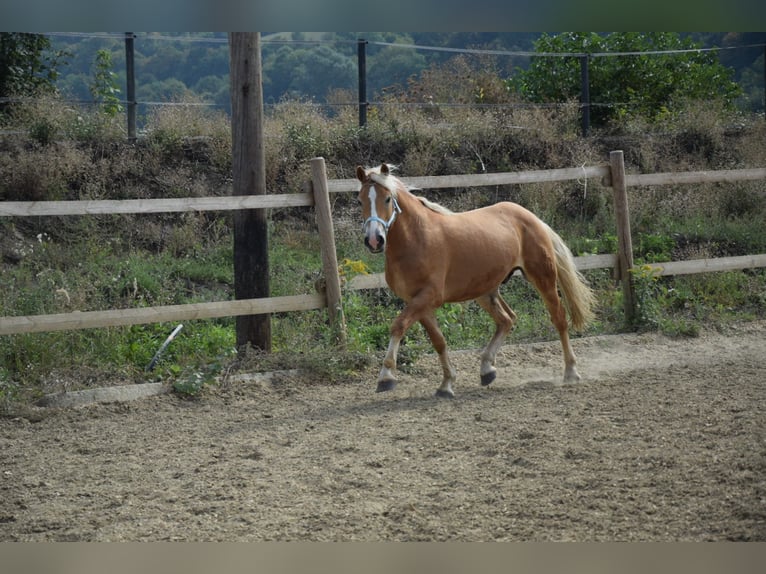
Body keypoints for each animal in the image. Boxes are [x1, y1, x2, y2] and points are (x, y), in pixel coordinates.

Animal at [356, 163, 596, 400]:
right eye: (360, 200)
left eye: (387, 199)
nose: (374, 240)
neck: (416, 238)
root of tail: (533, 218)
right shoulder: (418, 302)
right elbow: (439, 341)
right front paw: (446, 384)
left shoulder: (428, 296)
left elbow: (398, 326)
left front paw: (386, 377)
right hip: (485, 290)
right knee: (507, 319)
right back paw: (487, 370)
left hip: (542, 277)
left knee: (559, 318)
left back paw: (571, 372)